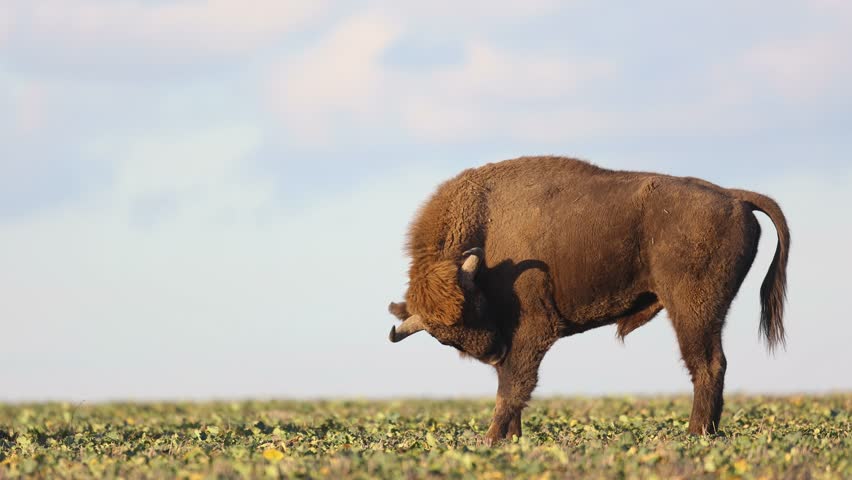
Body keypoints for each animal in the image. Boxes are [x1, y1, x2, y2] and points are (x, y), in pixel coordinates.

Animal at [387, 156, 789, 445]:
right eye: (444, 338)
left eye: (475, 305)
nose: (490, 351)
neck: (485, 227)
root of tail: (734, 195)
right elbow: (509, 383)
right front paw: (510, 438)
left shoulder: (532, 330)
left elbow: (513, 386)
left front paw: (490, 439)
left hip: (692, 309)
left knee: (707, 365)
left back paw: (695, 434)